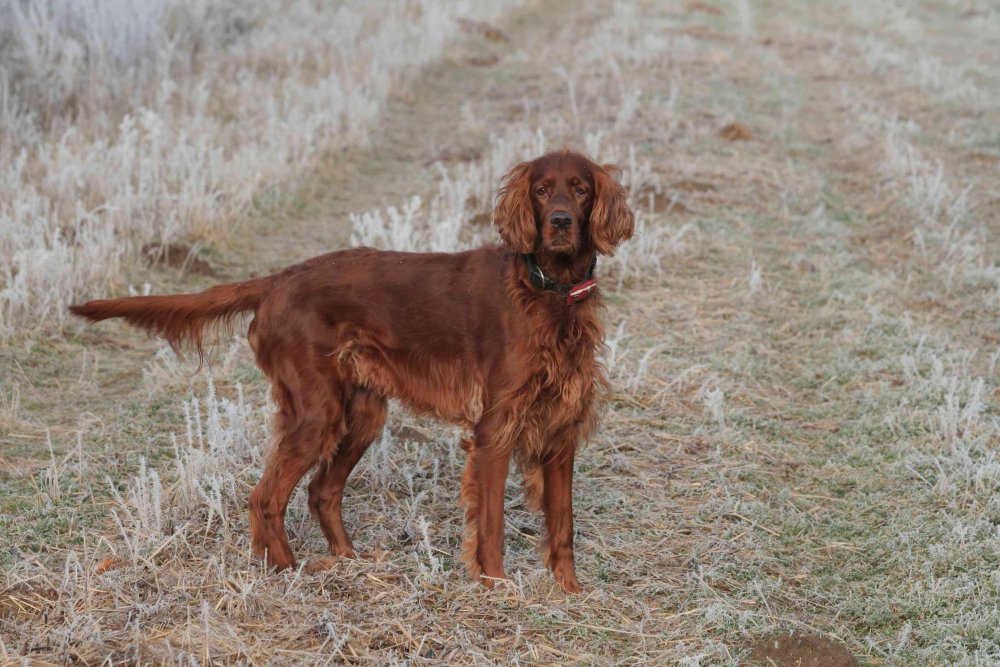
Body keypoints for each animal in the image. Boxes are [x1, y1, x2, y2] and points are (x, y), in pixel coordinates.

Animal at [72, 150, 632, 588]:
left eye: (580, 189)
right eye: (540, 190)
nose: (559, 221)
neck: (549, 290)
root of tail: (277, 281)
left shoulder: (561, 428)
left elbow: (563, 524)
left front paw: (569, 593)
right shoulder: (496, 427)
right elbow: (491, 522)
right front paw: (496, 588)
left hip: (361, 412)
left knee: (322, 490)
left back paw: (347, 560)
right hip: (318, 411)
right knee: (265, 496)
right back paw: (287, 570)